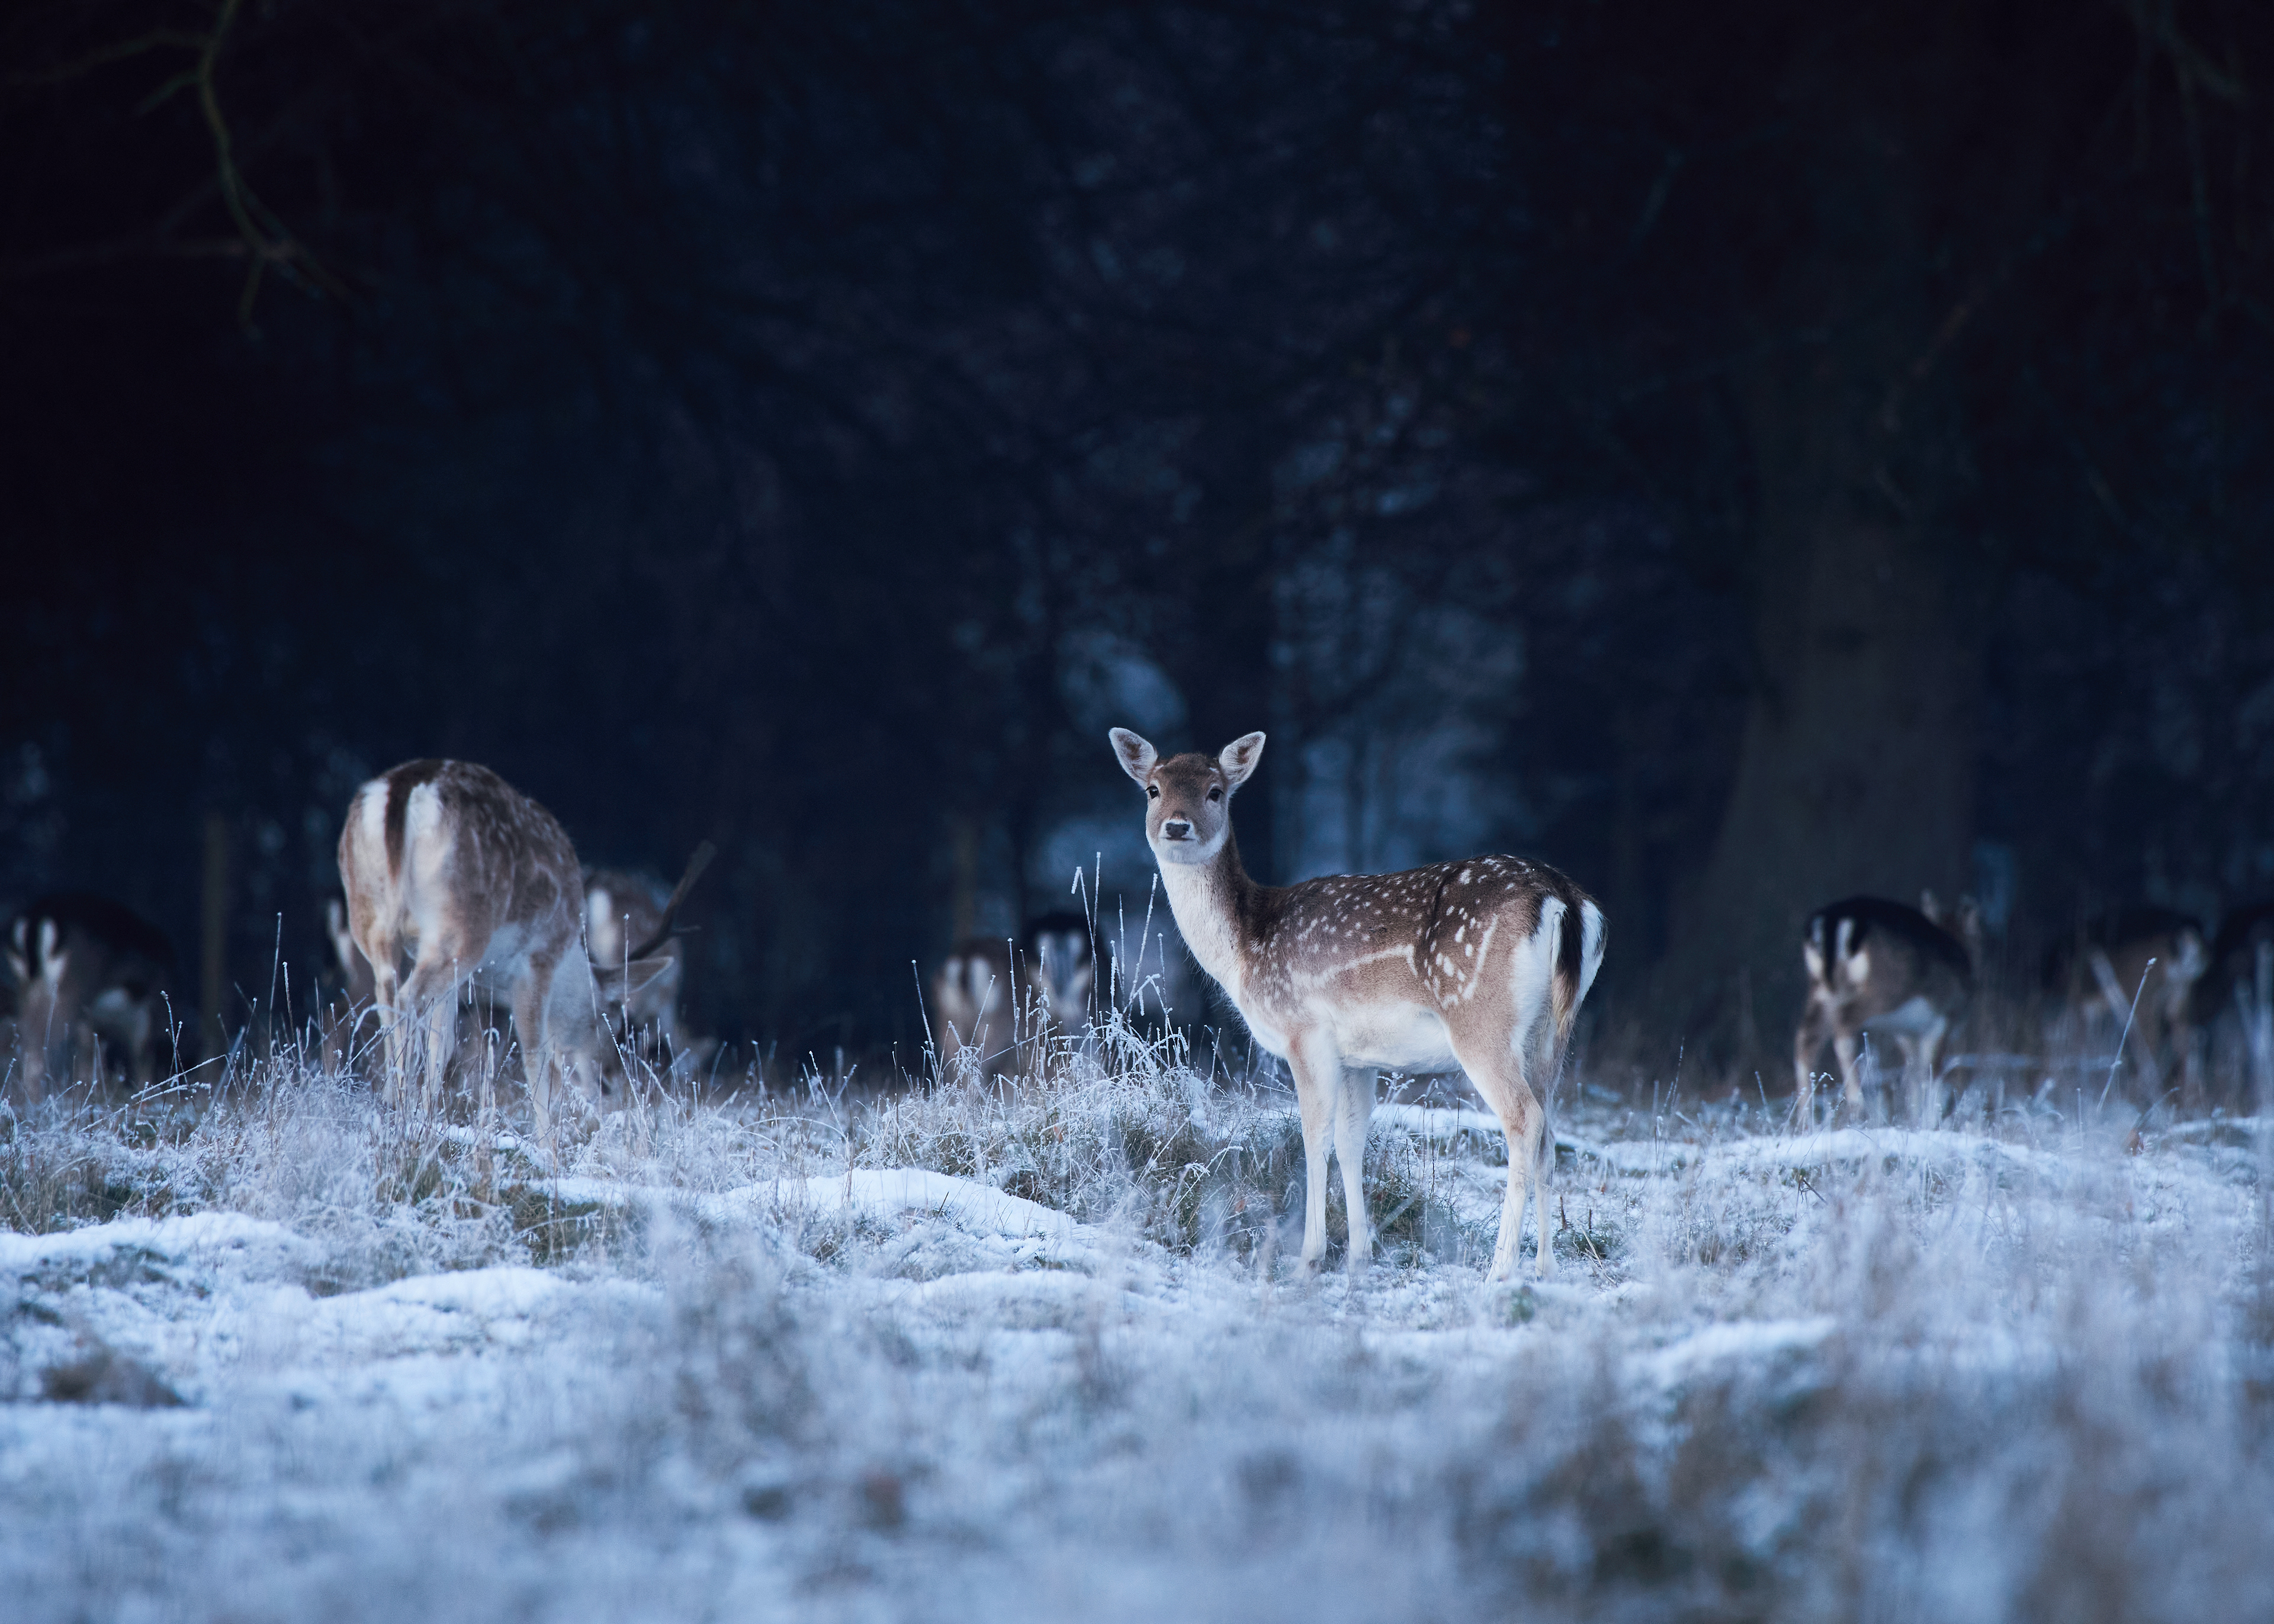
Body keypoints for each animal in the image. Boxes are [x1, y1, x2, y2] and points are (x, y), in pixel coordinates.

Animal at [5, 892, 178, 1097]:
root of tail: (37, 920)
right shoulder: (150, 1010)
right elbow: (143, 1054)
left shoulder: (91, 1021)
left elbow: (90, 1057)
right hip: (69, 987)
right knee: (41, 1036)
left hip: (26, 986)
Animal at [337, 759, 707, 1133]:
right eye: (613, 1022)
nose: (610, 1082)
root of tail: (405, 788)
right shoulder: (539, 959)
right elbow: (538, 1062)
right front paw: (548, 1144)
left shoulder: (457, 976)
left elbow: (443, 1042)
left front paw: (427, 1118)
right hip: (459, 927)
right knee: (405, 998)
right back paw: (397, 1099)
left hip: (370, 917)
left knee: (385, 994)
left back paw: (389, 1101)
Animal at [1110, 728, 1606, 1281]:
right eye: (1153, 789)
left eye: (1216, 791)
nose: (1177, 825)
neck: (1245, 948)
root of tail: (1565, 900)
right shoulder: (1359, 1056)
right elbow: (1352, 1140)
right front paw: (1358, 1253)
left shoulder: (1304, 1030)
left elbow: (1314, 1136)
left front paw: (1310, 1255)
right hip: (1551, 1034)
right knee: (1550, 1133)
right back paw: (1545, 1266)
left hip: (1482, 1020)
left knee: (1525, 1121)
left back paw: (1500, 1267)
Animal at [1794, 893, 1975, 1127]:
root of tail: (1834, 920)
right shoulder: (1944, 1017)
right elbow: (1932, 1071)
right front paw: (1930, 1120)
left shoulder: (1907, 1034)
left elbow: (1913, 1074)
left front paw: (1913, 1118)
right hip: (1882, 991)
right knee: (1843, 1029)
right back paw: (1858, 1105)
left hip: (1819, 988)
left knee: (1806, 1038)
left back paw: (1805, 1119)